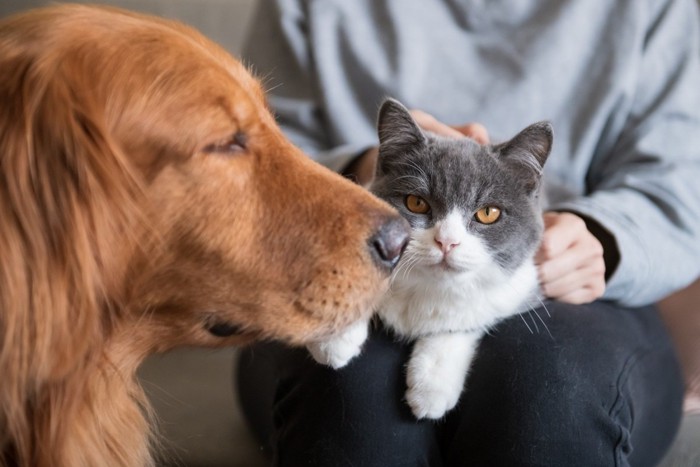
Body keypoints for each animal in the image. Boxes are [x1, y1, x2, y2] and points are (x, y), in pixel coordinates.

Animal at [306, 98, 552, 420]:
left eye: (488, 213)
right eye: (416, 203)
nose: (446, 241)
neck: (427, 288)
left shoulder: (519, 289)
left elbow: (464, 322)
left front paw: (432, 385)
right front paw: (334, 339)